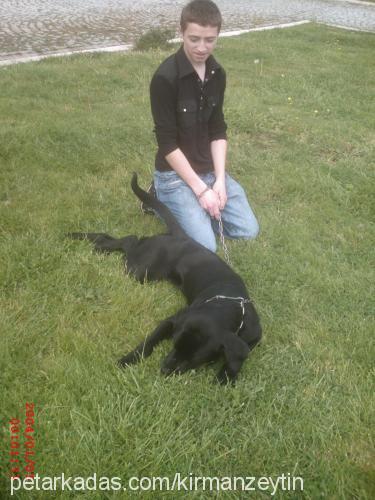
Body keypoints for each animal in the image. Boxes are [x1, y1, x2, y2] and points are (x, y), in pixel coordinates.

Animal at [70, 174, 262, 384]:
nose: (164, 369)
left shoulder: (251, 339)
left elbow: (237, 357)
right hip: (140, 270)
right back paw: (92, 242)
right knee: (130, 239)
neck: (229, 305)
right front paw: (129, 359)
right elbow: (148, 342)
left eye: (194, 360)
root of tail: (182, 236)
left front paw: (226, 375)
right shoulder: (171, 321)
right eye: (174, 344)